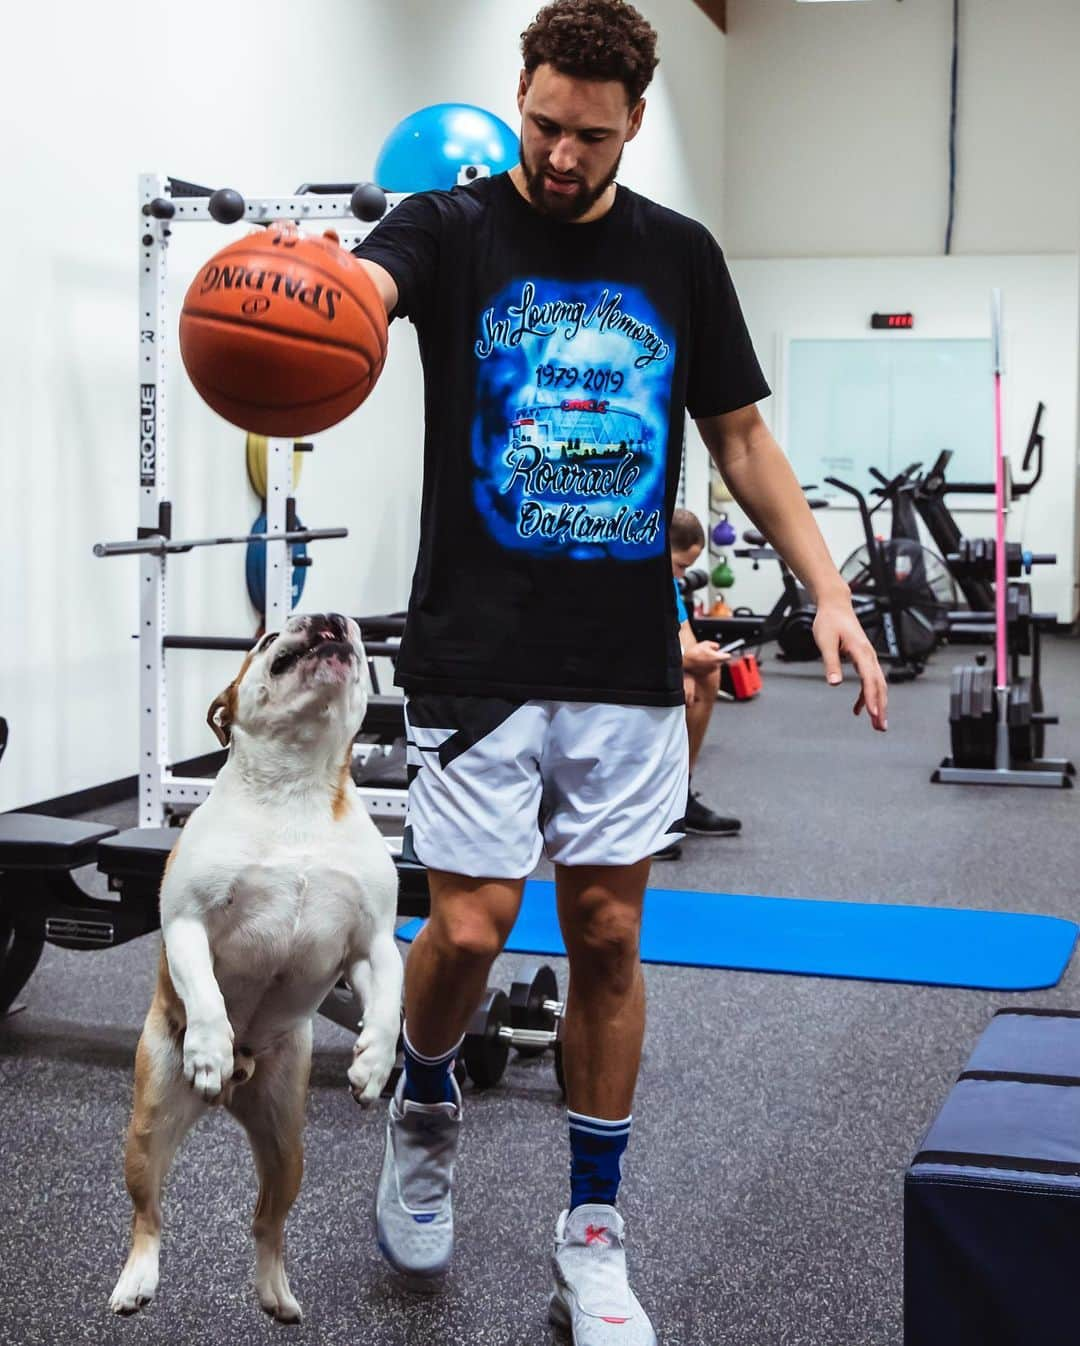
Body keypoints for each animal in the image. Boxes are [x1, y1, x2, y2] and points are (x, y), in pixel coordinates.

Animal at [107, 613, 401, 1324]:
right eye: (269, 642)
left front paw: (374, 1064)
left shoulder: (372, 944)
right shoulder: (187, 923)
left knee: (268, 1221)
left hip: (286, 1143)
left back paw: (276, 1293)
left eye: (352, 632)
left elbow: (392, 998)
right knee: (148, 1216)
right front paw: (210, 1048)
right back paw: (138, 1280)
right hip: (146, 1130)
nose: (329, 618)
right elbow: (207, 992)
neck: (297, 787)